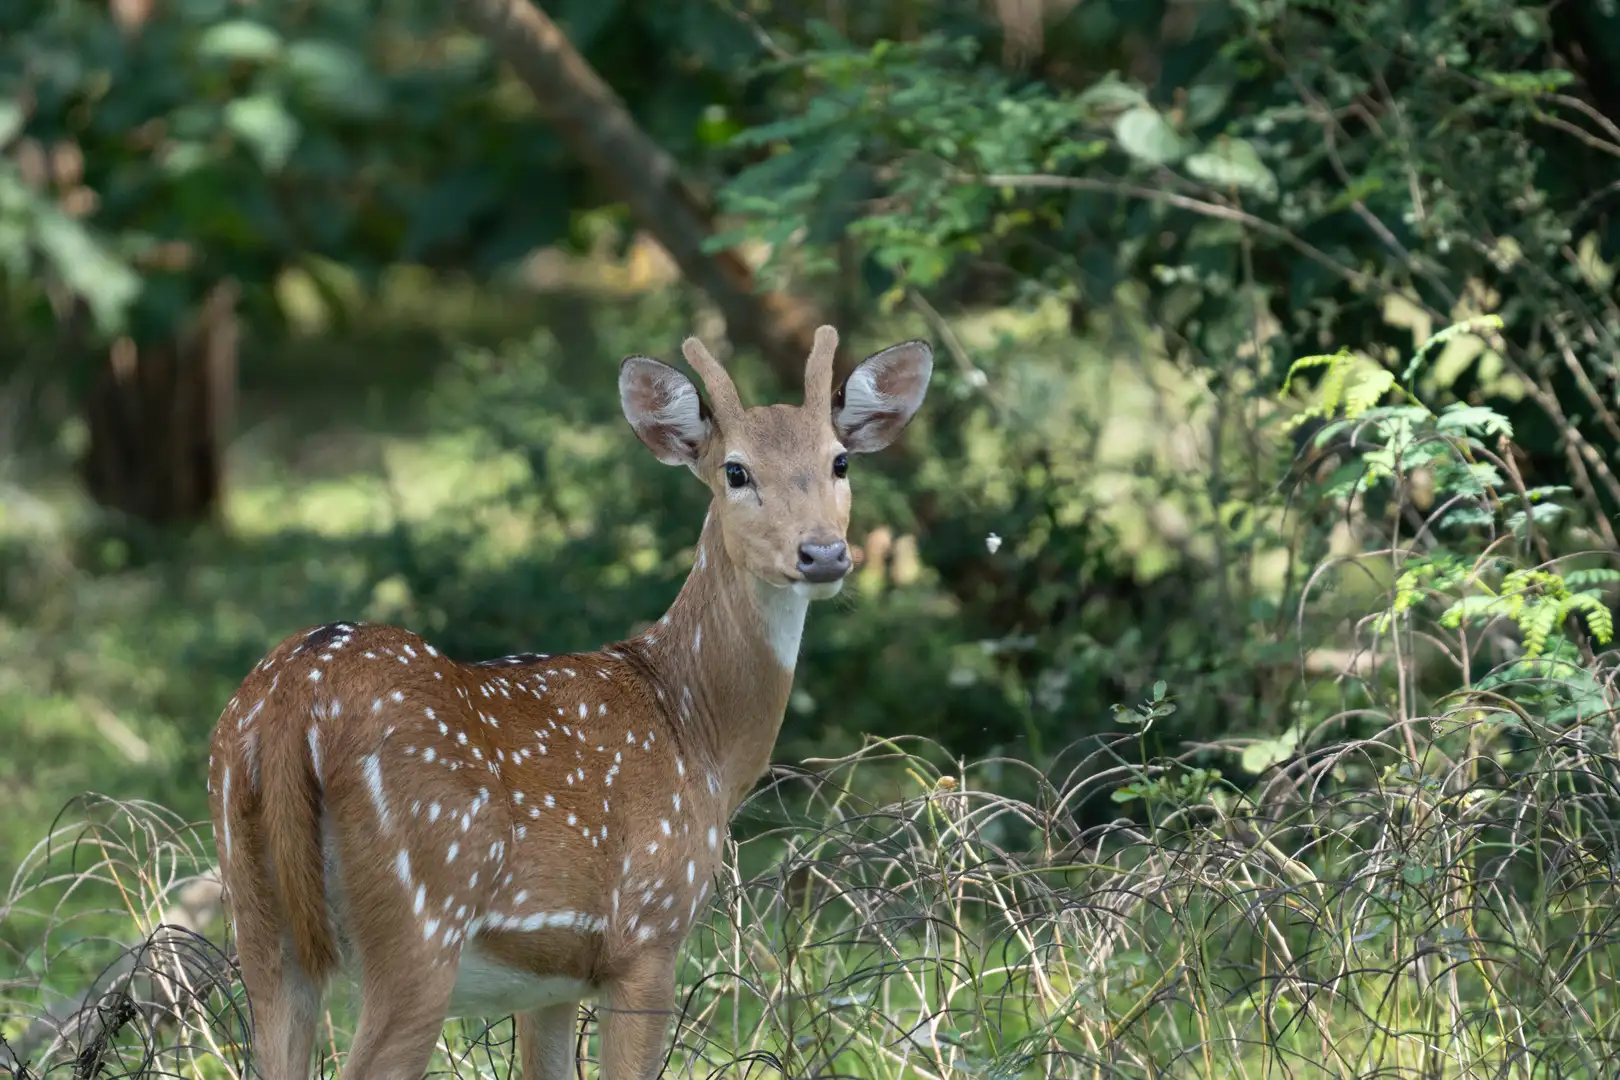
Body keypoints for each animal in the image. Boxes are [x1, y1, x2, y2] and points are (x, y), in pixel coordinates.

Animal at [204, 324, 934, 1080]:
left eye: (840, 461)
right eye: (736, 471)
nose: (823, 553)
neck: (697, 733)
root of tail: (293, 700)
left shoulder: (549, 980)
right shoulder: (648, 932)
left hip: (258, 920)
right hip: (420, 918)